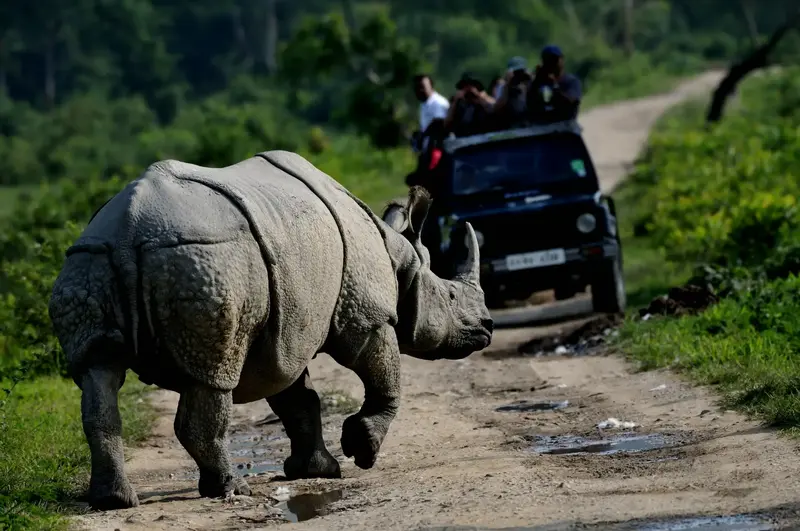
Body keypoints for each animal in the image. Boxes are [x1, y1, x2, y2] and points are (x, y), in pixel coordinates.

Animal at [48, 150, 492, 511]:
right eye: (451, 297)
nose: (487, 328)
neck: (397, 255)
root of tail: (129, 229)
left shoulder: (286, 332)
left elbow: (298, 400)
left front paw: (318, 471)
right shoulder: (366, 316)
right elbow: (384, 380)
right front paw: (361, 451)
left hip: (88, 264)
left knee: (97, 371)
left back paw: (113, 501)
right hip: (204, 261)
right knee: (213, 376)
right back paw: (230, 489)